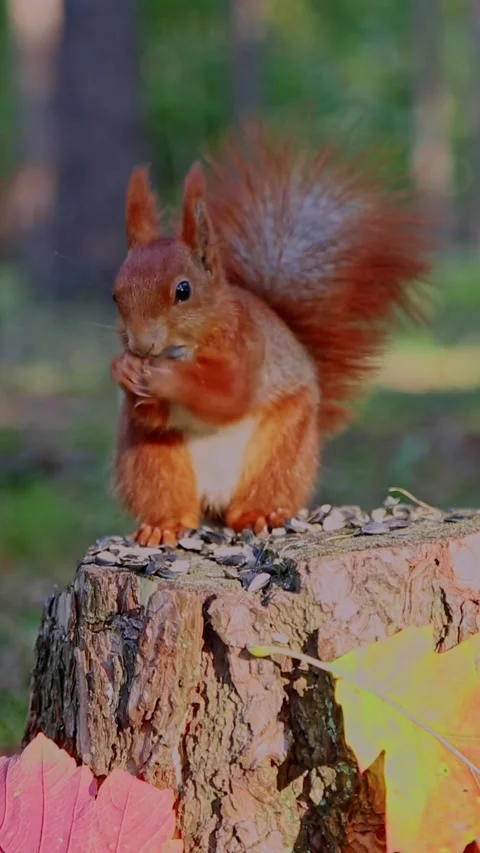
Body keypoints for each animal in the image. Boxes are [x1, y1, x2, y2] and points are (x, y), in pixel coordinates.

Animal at [111, 127, 432, 547]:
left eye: (183, 290)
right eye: (115, 295)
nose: (140, 344)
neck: (186, 349)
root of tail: (215, 502)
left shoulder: (249, 350)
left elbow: (228, 394)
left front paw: (165, 377)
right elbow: (152, 414)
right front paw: (124, 369)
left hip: (281, 451)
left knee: (260, 493)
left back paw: (258, 514)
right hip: (153, 462)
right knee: (174, 502)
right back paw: (163, 526)